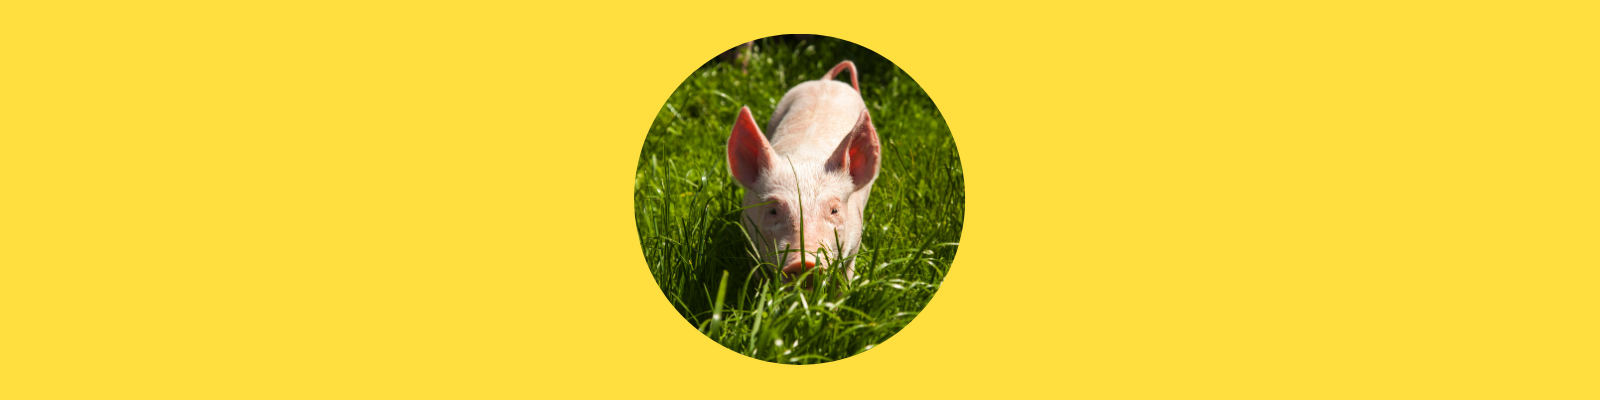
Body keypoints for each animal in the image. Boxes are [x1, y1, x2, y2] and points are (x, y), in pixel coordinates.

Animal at [726, 60, 880, 282]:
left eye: (834, 210)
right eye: (772, 210)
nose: (804, 263)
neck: (805, 157)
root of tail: (826, 81)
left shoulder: (855, 242)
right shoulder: (748, 237)